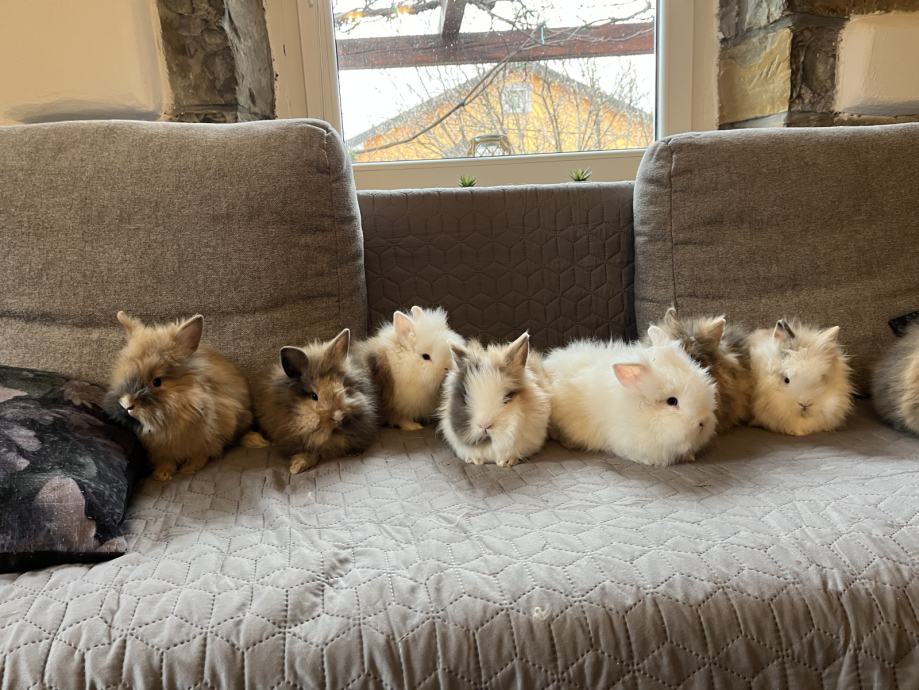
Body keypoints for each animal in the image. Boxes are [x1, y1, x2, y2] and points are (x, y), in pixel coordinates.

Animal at [105, 311, 253, 481]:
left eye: (157, 381)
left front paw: (188, 470)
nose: (126, 404)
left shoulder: (208, 439)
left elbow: (200, 456)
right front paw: (162, 475)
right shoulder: (162, 450)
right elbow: (166, 461)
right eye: (124, 374)